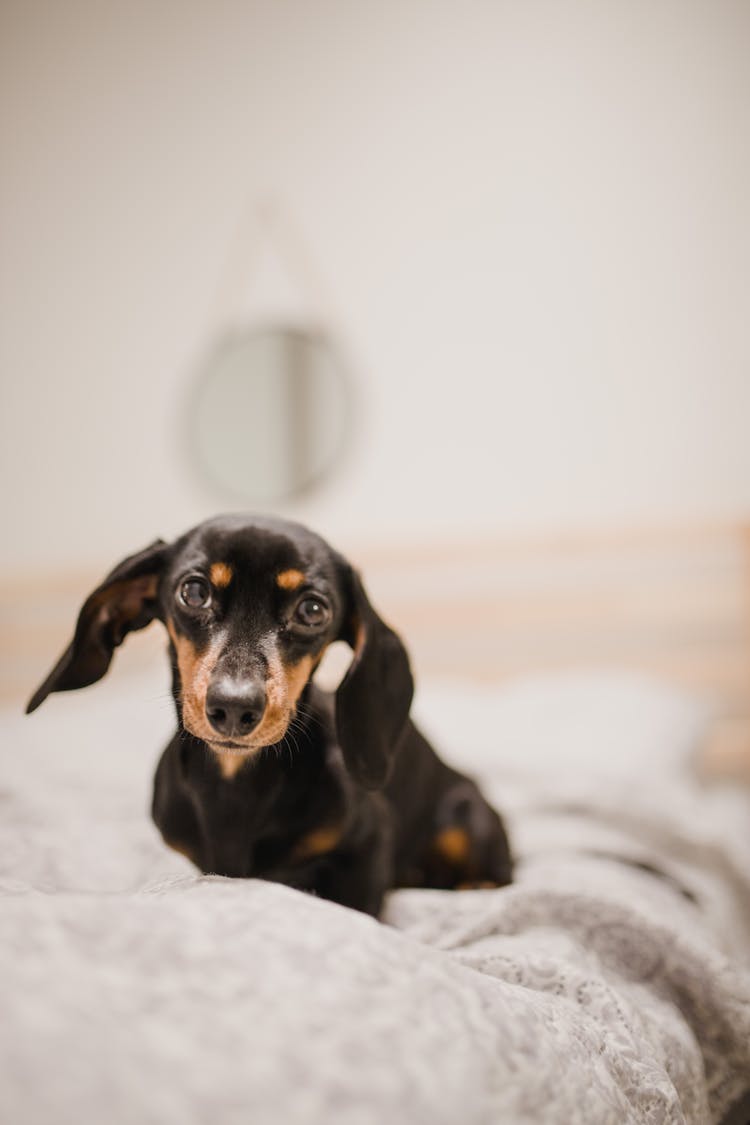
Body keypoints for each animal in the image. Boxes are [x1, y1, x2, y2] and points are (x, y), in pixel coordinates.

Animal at [26, 515, 512, 913]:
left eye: (312, 609)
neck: (235, 781)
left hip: (468, 817)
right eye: (194, 591)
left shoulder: (369, 844)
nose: (233, 708)